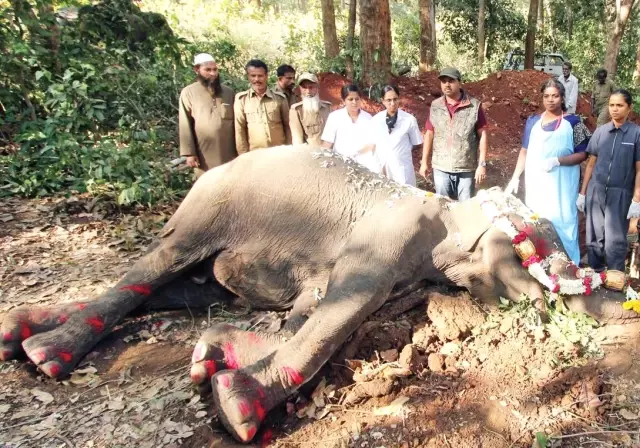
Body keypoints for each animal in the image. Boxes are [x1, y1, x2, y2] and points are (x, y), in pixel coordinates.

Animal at [0, 145, 636, 442]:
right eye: (527, 251)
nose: (617, 285)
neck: (447, 211)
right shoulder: (389, 235)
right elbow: (346, 303)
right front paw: (236, 405)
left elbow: (314, 307)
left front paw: (215, 354)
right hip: (207, 207)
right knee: (156, 267)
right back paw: (45, 355)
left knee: (181, 290)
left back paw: (22, 329)